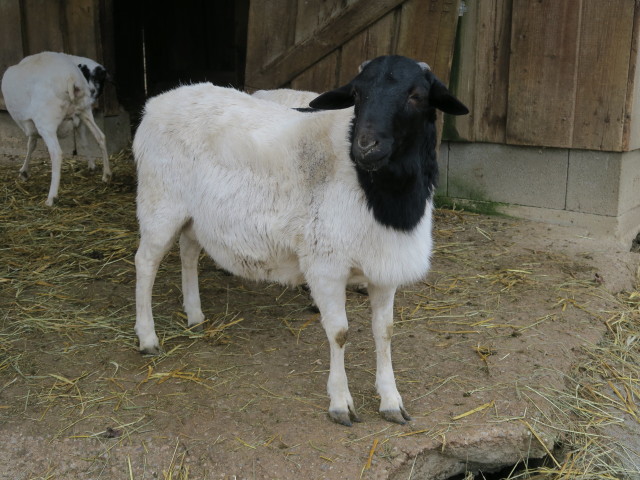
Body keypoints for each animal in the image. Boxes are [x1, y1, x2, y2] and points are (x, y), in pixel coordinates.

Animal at [0, 52, 111, 206]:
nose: (94, 91)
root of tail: (71, 77)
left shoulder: (34, 123)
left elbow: (31, 145)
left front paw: (24, 171)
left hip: (46, 121)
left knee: (56, 153)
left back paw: (51, 197)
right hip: (84, 110)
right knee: (100, 136)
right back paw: (107, 175)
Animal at [132, 54, 468, 426]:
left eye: (416, 96)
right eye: (357, 94)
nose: (365, 146)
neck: (383, 196)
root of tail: (158, 102)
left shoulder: (384, 265)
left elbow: (386, 331)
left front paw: (391, 400)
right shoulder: (326, 265)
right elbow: (339, 333)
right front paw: (340, 402)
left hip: (194, 213)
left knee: (188, 251)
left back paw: (195, 315)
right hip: (160, 202)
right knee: (145, 262)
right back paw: (147, 337)